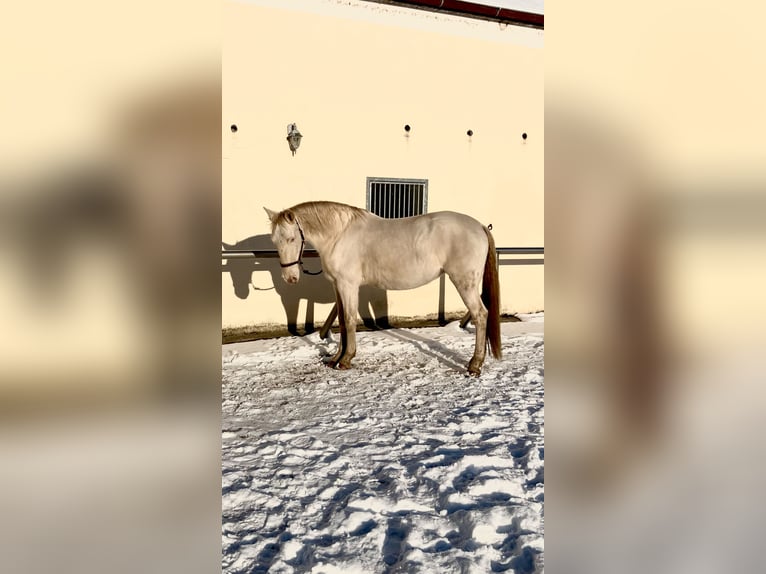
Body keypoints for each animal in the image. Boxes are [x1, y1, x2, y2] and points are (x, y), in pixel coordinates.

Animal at [264, 201, 501, 376]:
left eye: (291, 238)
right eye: (274, 241)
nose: (290, 277)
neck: (339, 235)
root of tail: (479, 226)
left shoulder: (348, 285)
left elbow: (349, 320)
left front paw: (346, 359)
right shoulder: (338, 286)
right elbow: (342, 322)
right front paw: (335, 358)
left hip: (464, 282)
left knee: (480, 315)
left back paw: (474, 365)